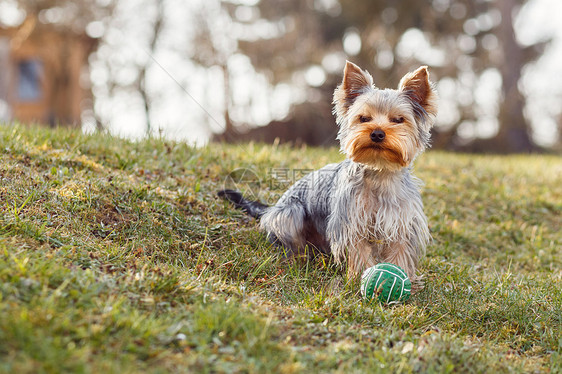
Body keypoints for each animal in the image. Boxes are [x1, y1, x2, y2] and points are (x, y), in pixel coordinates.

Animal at [217, 60, 436, 284]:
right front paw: (359, 279)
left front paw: (402, 278)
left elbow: (400, 252)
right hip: (290, 213)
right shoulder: (350, 221)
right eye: (363, 118)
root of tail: (270, 209)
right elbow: (358, 251)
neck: (380, 170)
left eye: (398, 120)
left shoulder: (402, 223)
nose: (377, 133)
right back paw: (298, 260)